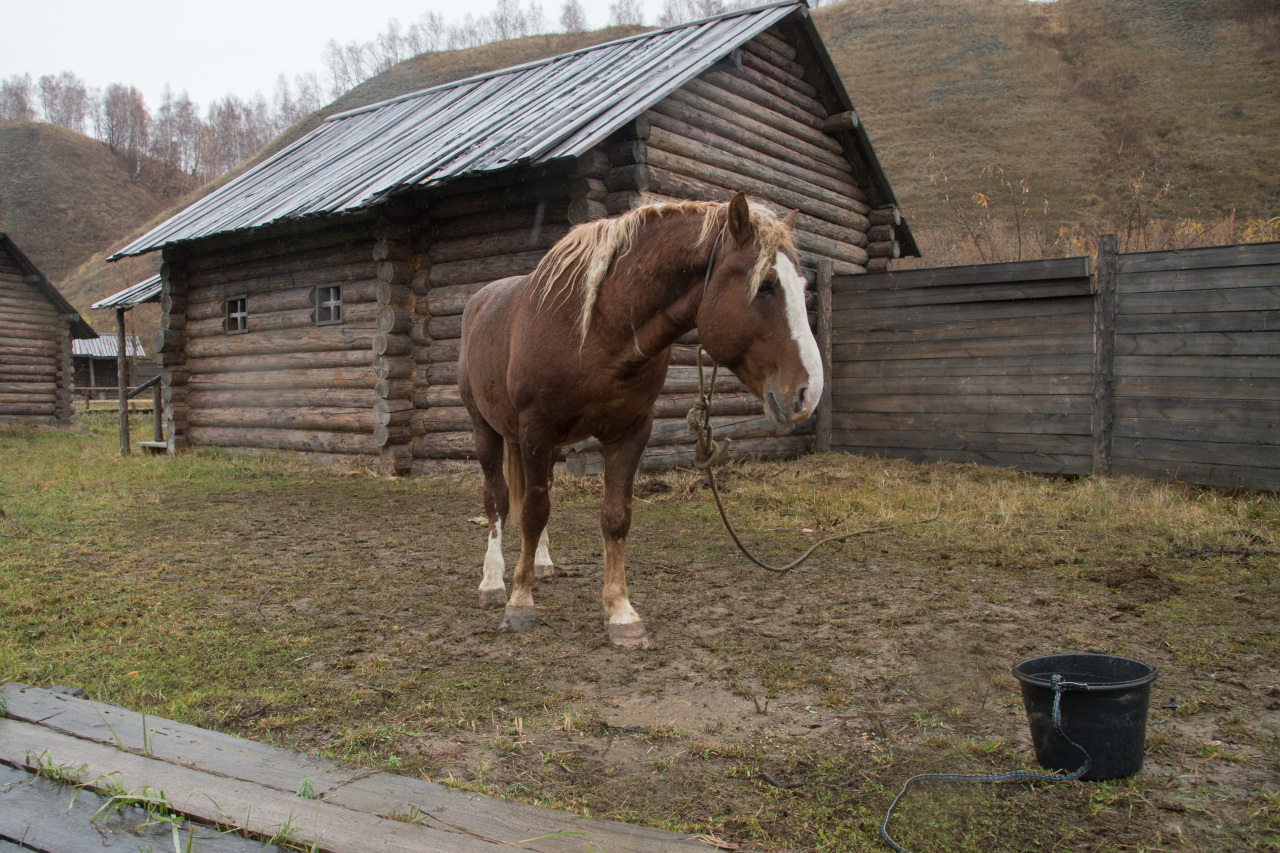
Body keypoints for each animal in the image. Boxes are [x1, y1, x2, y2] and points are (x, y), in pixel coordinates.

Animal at [458, 192, 819, 645]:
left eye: (803, 288)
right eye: (766, 285)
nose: (809, 392)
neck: (594, 330)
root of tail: (480, 301)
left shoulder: (630, 432)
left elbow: (614, 517)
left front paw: (621, 612)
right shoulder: (536, 430)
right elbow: (532, 511)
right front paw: (520, 602)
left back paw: (541, 563)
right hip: (485, 429)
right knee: (499, 500)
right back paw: (493, 582)